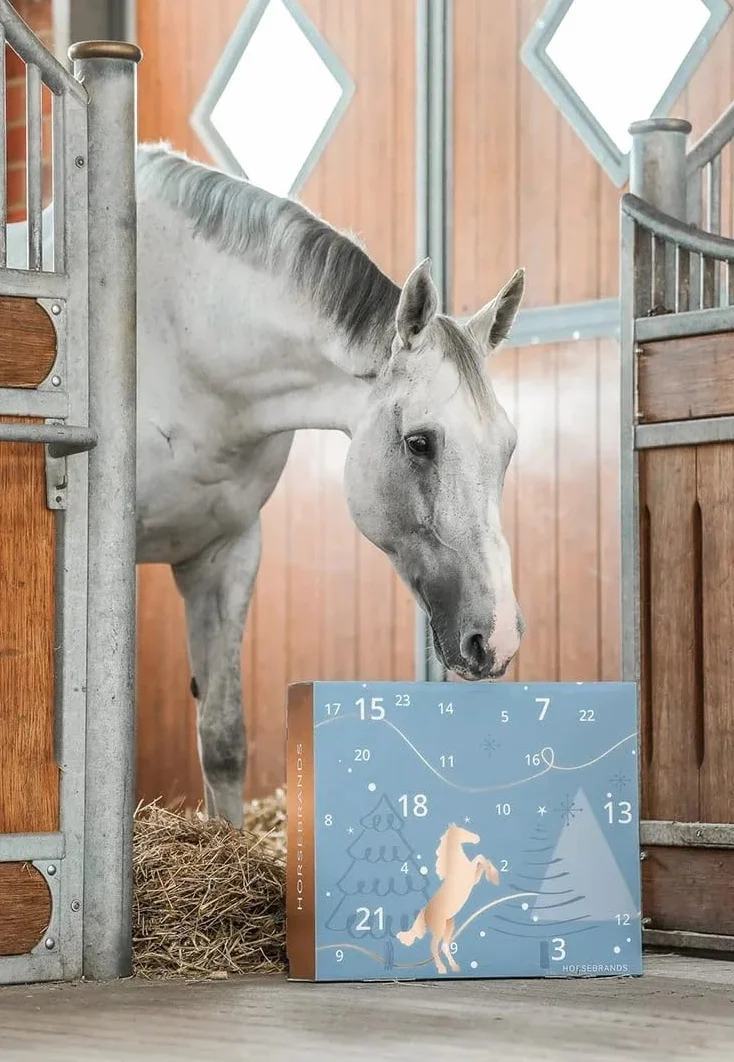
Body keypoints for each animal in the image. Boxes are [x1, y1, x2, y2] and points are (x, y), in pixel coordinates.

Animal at [7, 143, 526, 828]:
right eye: (420, 442)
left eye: (508, 448)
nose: (498, 637)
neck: (183, 343)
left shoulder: (224, 554)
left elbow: (223, 735)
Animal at [397, 823, 499, 974]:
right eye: (462, 831)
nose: (477, 838)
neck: (456, 866)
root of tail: (425, 911)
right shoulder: (471, 876)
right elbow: (479, 858)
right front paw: (494, 877)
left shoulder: (474, 879)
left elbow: (481, 861)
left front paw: (493, 876)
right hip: (439, 928)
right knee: (434, 946)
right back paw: (442, 968)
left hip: (449, 925)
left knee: (444, 946)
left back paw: (455, 967)